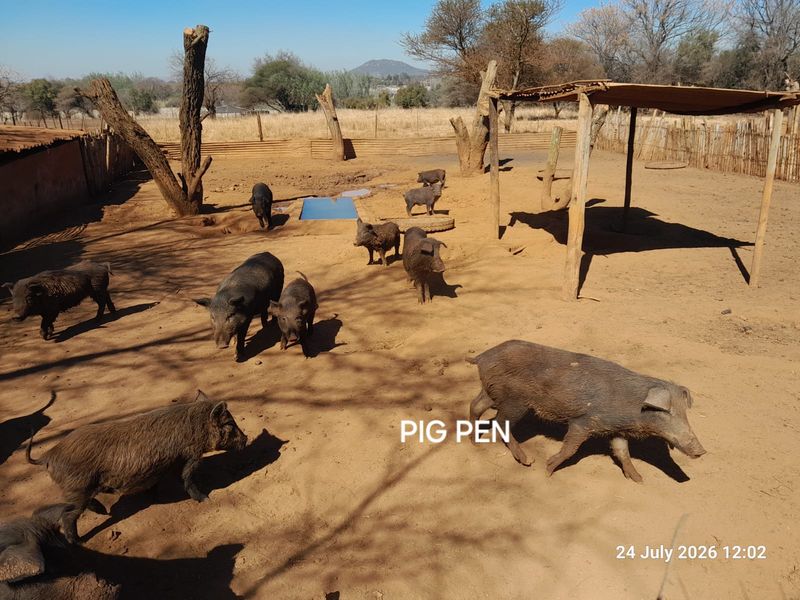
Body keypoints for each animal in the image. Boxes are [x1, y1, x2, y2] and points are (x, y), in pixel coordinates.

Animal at [26, 391, 248, 544]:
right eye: (229, 423)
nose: (246, 438)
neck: (197, 428)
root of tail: (49, 455)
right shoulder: (191, 457)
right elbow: (188, 479)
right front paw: (206, 499)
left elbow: (157, 483)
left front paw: (154, 497)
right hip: (78, 489)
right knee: (68, 515)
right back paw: (78, 541)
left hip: (79, 491)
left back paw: (103, 511)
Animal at [467, 340, 706, 482]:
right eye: (667, 412)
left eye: (684, 413)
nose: (702, 451)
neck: (633, 407)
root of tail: (482, 356)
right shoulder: (583, 422)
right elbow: (570, 449)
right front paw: (547, 470)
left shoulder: (616, 430)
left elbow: (622, 452)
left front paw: (638, 479)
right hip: (515, 402)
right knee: (500, 422)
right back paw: (527, 461)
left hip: (490, 391)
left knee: (475, 405)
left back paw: (473, 442)